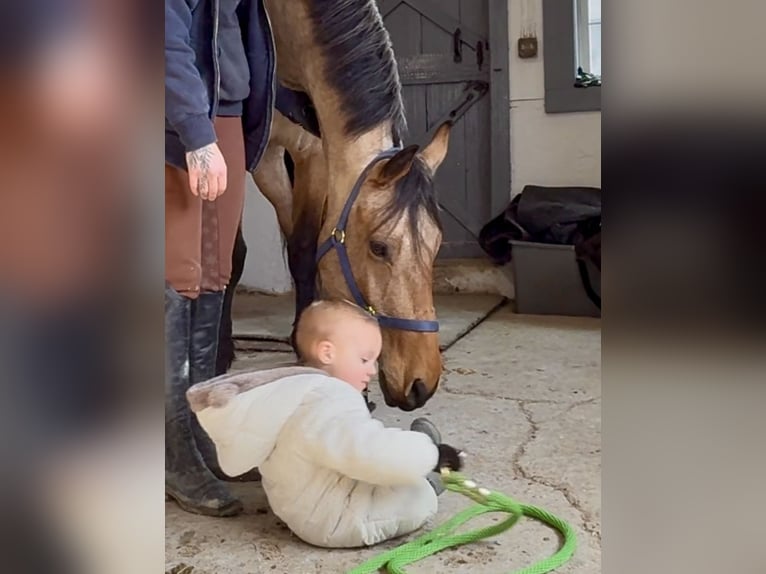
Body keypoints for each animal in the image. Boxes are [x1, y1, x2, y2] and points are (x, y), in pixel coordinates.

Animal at [221, 0, 452, 411]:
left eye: (436, 245)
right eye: (379, 247)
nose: (421, 384)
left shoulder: (310, 154)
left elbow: (303, 250)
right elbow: (230, 255)